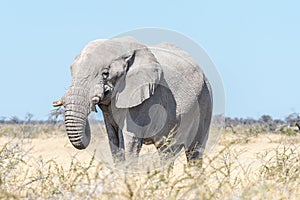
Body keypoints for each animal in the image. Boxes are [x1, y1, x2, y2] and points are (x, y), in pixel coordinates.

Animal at [54, 36, 213, 166]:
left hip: (205, 99)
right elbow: (114, 140)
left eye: (105, 73)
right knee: (168, 150)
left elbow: (130, 140)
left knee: (192, 150)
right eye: (71, 71)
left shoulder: (143, 100)